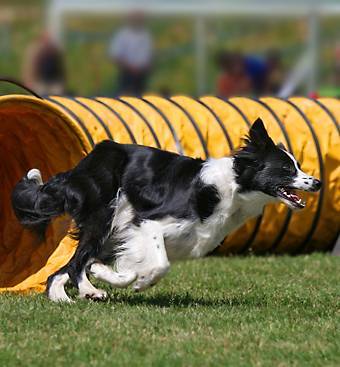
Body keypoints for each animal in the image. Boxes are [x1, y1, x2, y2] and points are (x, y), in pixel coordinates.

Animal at [11, 118, 322, 302]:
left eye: (298, 165)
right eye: (287, 169)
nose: (318, 182)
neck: (231, 187)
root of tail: (78, 168)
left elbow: (129, 265)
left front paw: (112, 274)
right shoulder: (148, 223)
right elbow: (160, 264)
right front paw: (137, 283)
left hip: (108, 229)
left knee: (61, 271)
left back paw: (66, 296)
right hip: (103, 217)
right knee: (76, 263)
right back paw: (89, 290)